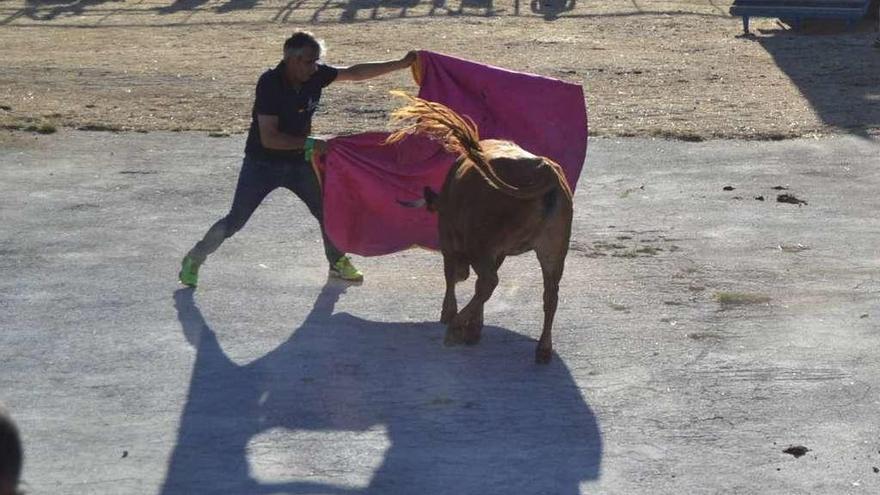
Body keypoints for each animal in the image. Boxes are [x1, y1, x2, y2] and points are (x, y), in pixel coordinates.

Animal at [388, 93, 576, 364]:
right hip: (553, 251)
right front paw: (475, 327)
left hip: (482, 245)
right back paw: (543, 349)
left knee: (489, 281)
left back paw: (454, 327)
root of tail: (544, 169)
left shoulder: (450, 239)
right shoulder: (497, 251)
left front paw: (449, 314)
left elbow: (451, 275)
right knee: (549, 295)